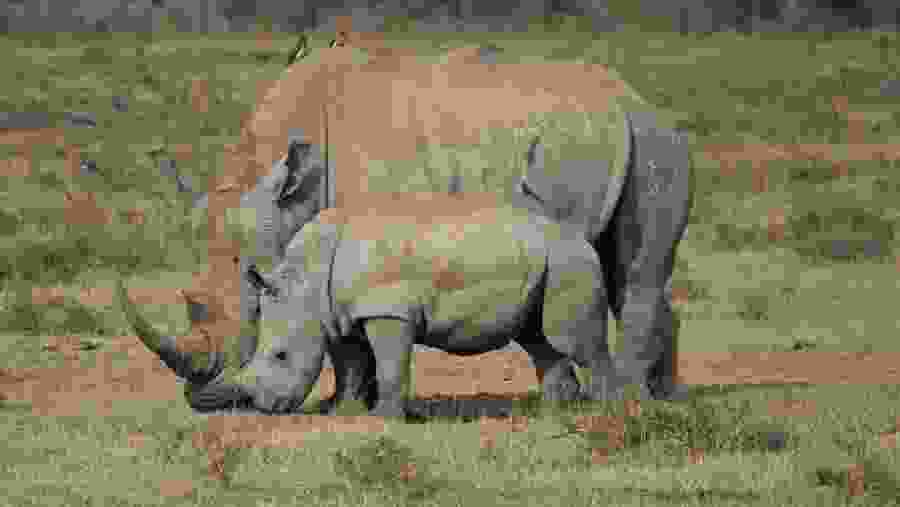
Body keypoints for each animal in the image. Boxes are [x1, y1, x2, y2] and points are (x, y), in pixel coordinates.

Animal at [122, 33, 692, 412]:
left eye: (249, 289)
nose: (200, 397)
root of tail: (643, 102)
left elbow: (343, 334)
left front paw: (348, 408)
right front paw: (343, 406)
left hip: (654, 143)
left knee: (638, 275)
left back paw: (634, 400)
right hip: (631, 141)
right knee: (629, 270)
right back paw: (665, 397)